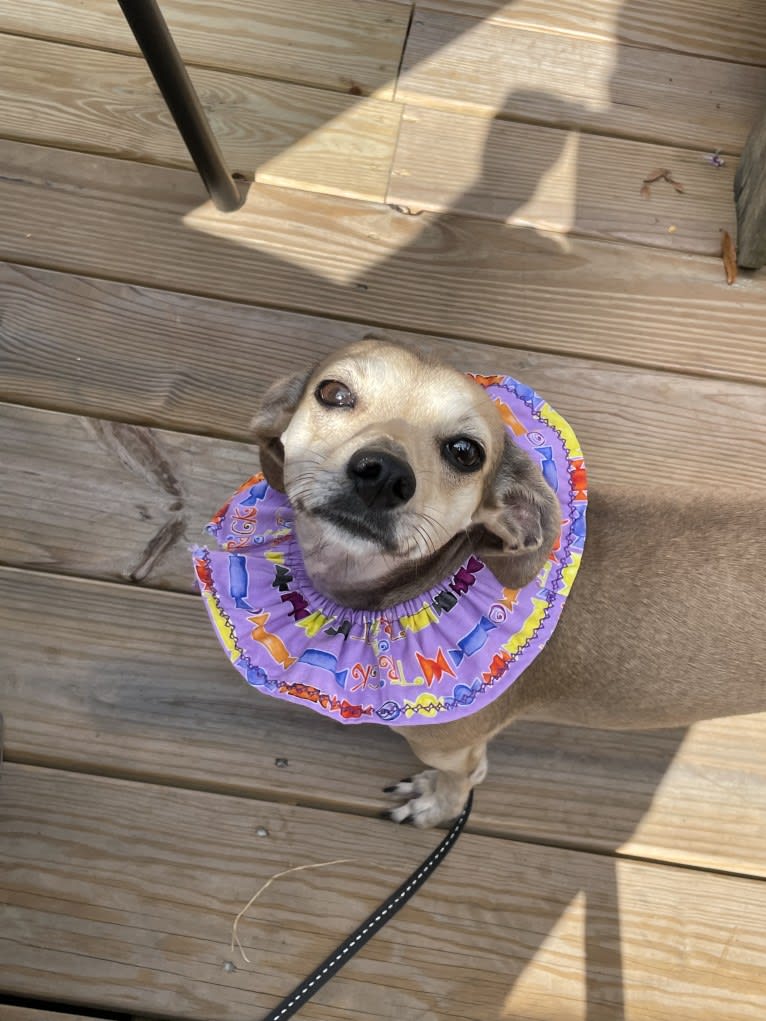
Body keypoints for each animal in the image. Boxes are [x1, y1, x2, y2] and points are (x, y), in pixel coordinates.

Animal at [253, 338, 766, 824]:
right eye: (332, 392)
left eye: (465, 452)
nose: (384, 475)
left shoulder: (451, 748)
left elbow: (462, 779)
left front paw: (437, 806)